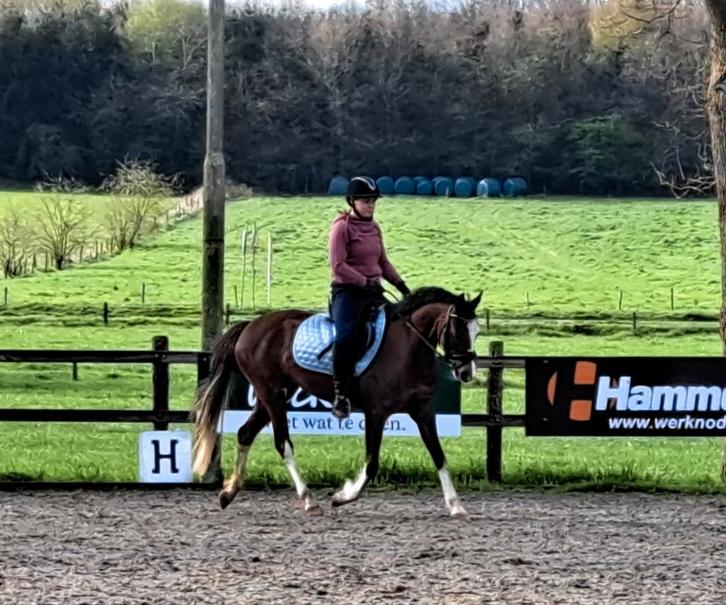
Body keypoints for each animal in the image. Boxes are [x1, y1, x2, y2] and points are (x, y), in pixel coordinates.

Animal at [191, 286, 482, 518]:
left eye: (477, 331)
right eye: (458, 329)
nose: (466, 373)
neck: (408, 349)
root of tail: (250, 326)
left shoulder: (423, 412)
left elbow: (439, 456)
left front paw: (456, 506)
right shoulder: (376, 412)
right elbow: (372, 463)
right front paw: (343, 496)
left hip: (273, 395)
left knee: (245, 433)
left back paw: (228, 493)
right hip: (271, 394)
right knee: (283, 443)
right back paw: (309, 500)